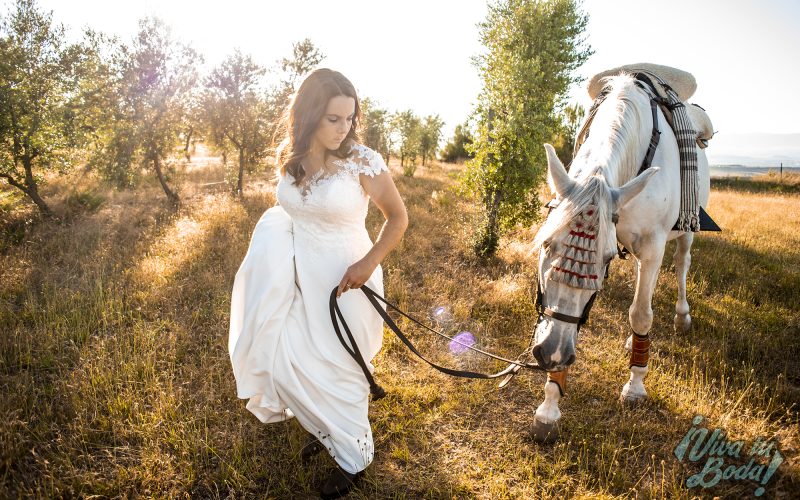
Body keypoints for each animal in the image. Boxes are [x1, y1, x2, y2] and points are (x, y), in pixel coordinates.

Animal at [528, 72, 708, 440]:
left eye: (607, 257)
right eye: (546, 244)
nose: (552, 354)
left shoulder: (653, 247)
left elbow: (641, 314)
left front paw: (635, 386)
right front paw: (549, 408)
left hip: (687, 231)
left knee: (681, 265)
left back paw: (681, 316)